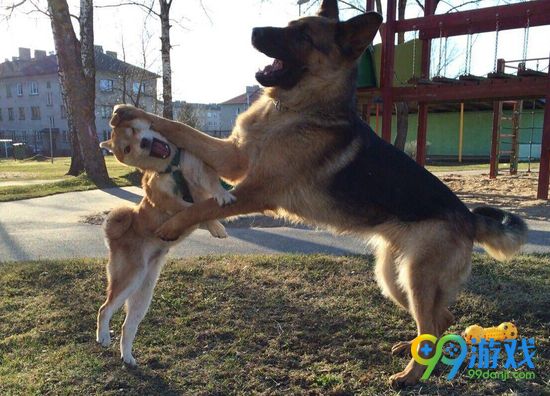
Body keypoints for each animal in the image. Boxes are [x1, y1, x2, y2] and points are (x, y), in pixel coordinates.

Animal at [97, 113, 235, 366]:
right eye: (127, 148)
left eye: (134, 129)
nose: (144, 144)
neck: (172, 166)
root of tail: (115, 236)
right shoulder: (160, 196)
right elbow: (191, 209)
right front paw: (211, 223)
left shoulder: (198, 172)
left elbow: (211, 190)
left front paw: (221, 201)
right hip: (128, 279)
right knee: (104, 309)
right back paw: (103, 337)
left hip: (143, 293)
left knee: (127, 327)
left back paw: (127, 357)